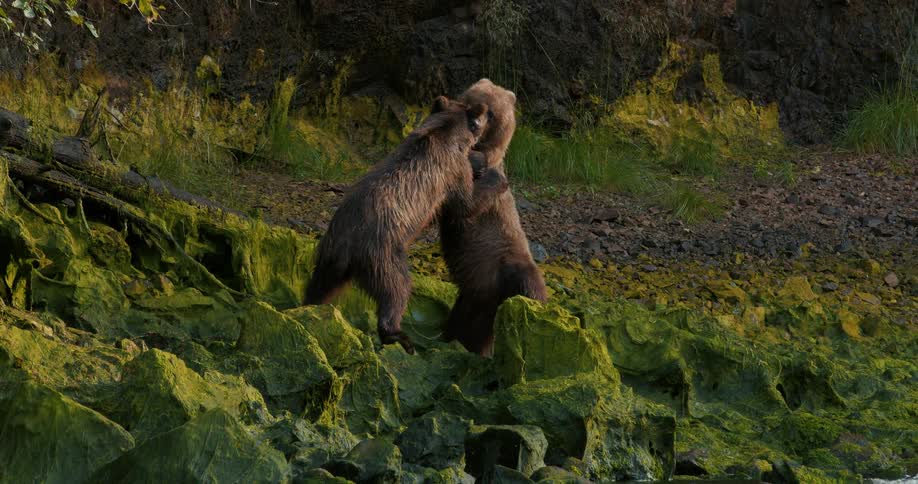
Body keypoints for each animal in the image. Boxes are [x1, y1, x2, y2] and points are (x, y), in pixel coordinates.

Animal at [304, 96, 509, 354]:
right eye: (482, 118)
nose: (487, 113)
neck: (445, 133)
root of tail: (346, 244)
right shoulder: (451, 171)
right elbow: (466, 204)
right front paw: (495, 177)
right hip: (383, 252)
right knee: (397, 289)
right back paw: (398, 335)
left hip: (329, 257)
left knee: (319, 285)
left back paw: (308, 306)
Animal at [435, 79, 548, 357]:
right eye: (471, 102)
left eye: (493, 113)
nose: (476, 123)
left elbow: (470, 201)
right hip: (473, 294)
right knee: (461, 322)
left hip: (505, 266)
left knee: (529, 285)